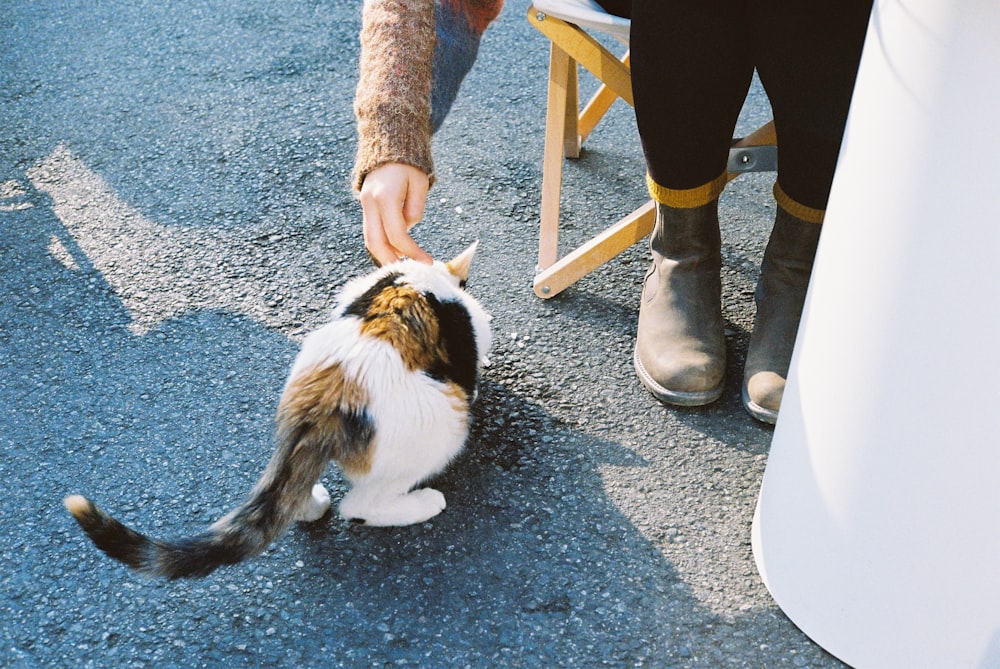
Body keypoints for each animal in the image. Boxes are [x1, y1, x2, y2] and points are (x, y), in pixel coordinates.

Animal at [62, 243, 492, 576]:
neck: (419, 278)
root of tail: (328, 399)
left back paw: (312, 501)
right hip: (445, 430)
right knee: (360, 506)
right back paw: (421, 504)